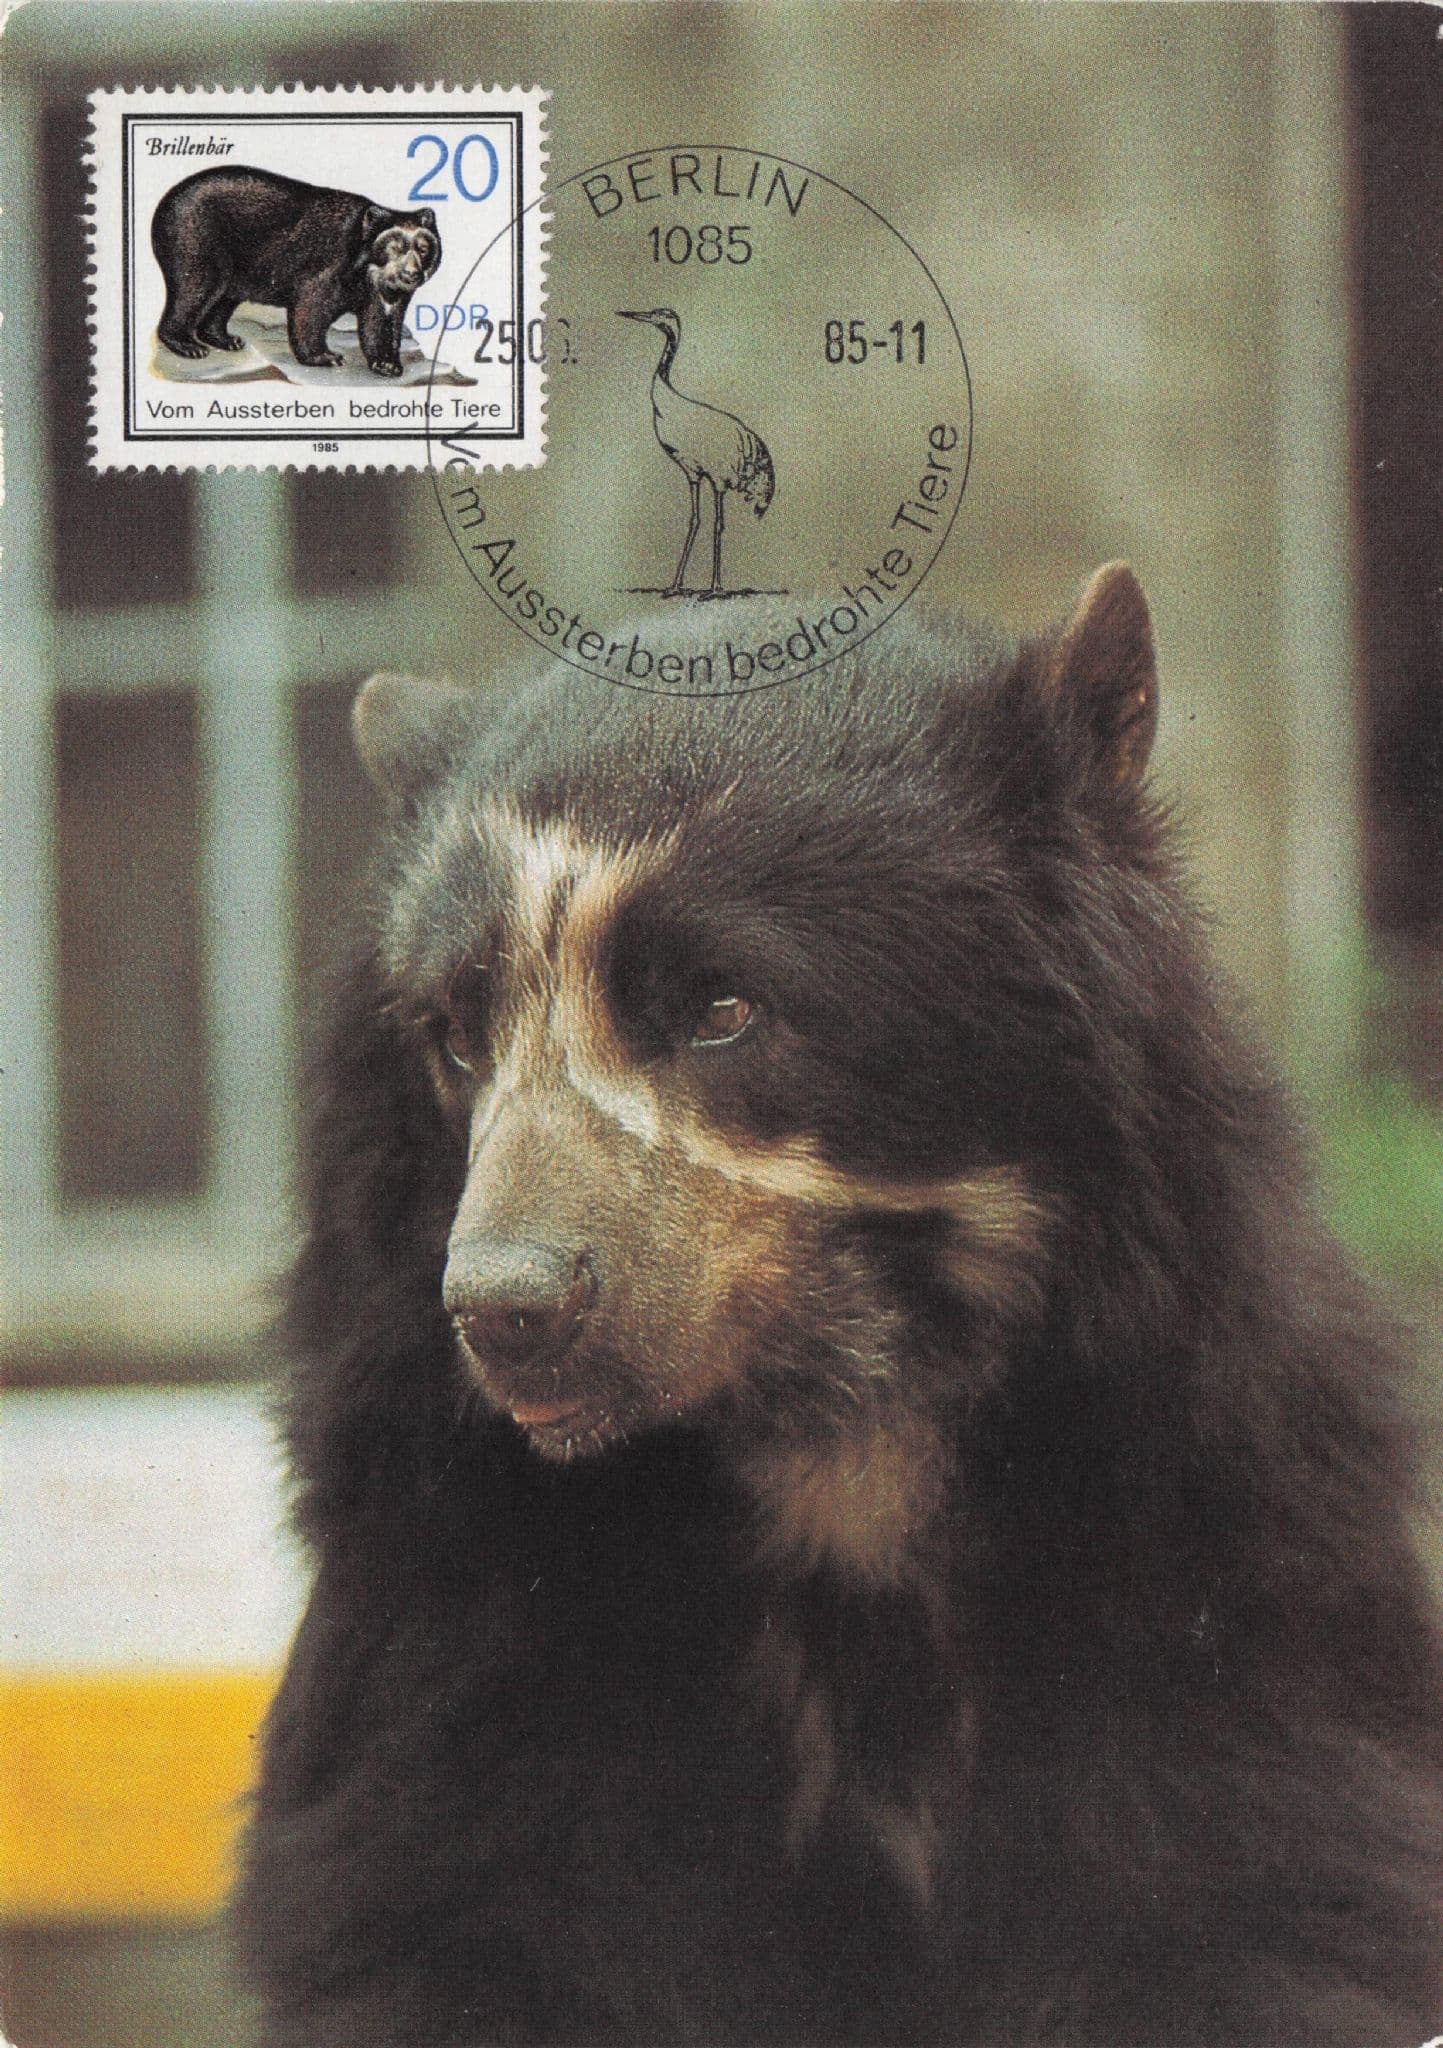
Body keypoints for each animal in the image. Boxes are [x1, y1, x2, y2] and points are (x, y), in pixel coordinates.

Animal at [150, 166, 440, 376]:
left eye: (424, 248)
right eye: (395, 246)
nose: (411, 274)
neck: (363, 270)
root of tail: (164, 203)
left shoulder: (381, 288)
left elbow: (380, 320)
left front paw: (388, 364)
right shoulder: (331, 263)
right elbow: (310, 307)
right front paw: (326, 356)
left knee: (223, 300)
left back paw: (226, 338)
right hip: (195, 240)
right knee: (194, 289)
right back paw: (187, 345)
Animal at [234, 568, 1443, 2047]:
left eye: (722, 1007)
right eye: (455, 1035)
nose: (507, 1306)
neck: (835, 1433)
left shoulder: (1208, 1526)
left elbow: (1249, 1884)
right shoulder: (447, 1581)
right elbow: (442, 1893)